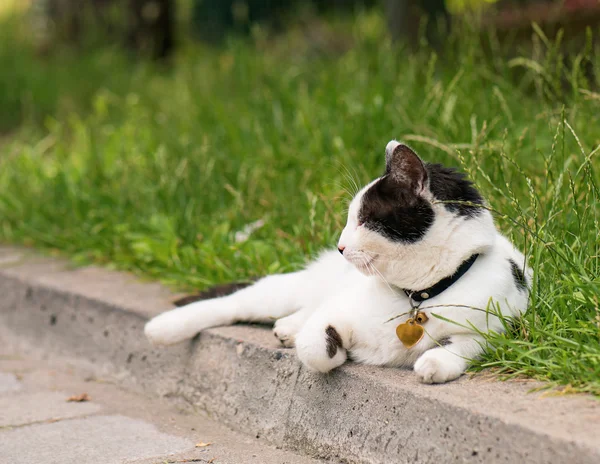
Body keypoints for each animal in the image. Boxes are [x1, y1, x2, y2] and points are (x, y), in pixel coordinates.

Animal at [144, 140, 528, 384]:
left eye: (363, 219)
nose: (340, 245)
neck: (419, 295)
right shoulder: (337, 311)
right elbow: (315, 347)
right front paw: (339, 351)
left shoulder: (504, 324)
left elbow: (468, 343)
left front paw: (436, 362)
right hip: (288, 290)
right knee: (234, 302)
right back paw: (162, 327)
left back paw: (287, 327)